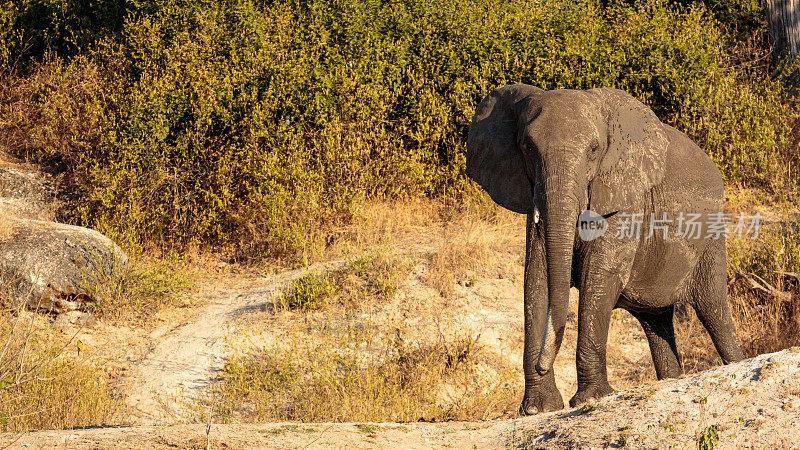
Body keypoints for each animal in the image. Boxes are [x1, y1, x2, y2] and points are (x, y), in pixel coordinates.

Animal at [466, 84, 748, 414]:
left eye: (593, 150)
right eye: (526, 148)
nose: (541, 365)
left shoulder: (626, 198)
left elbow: (599, 277)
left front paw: (591, 398)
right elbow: (536, 279)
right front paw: (539, 409)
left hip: (711, 237)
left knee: (713, 307)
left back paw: (737, 361)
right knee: (656, 321)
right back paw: (671, 380)